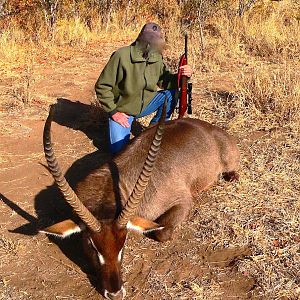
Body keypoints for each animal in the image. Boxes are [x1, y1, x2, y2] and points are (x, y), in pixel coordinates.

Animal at [41, 102, 240, 298]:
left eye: (123, 244)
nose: (115, 293)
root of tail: (210, 128)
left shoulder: (183, 202)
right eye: (91, 245)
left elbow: (161, 233)